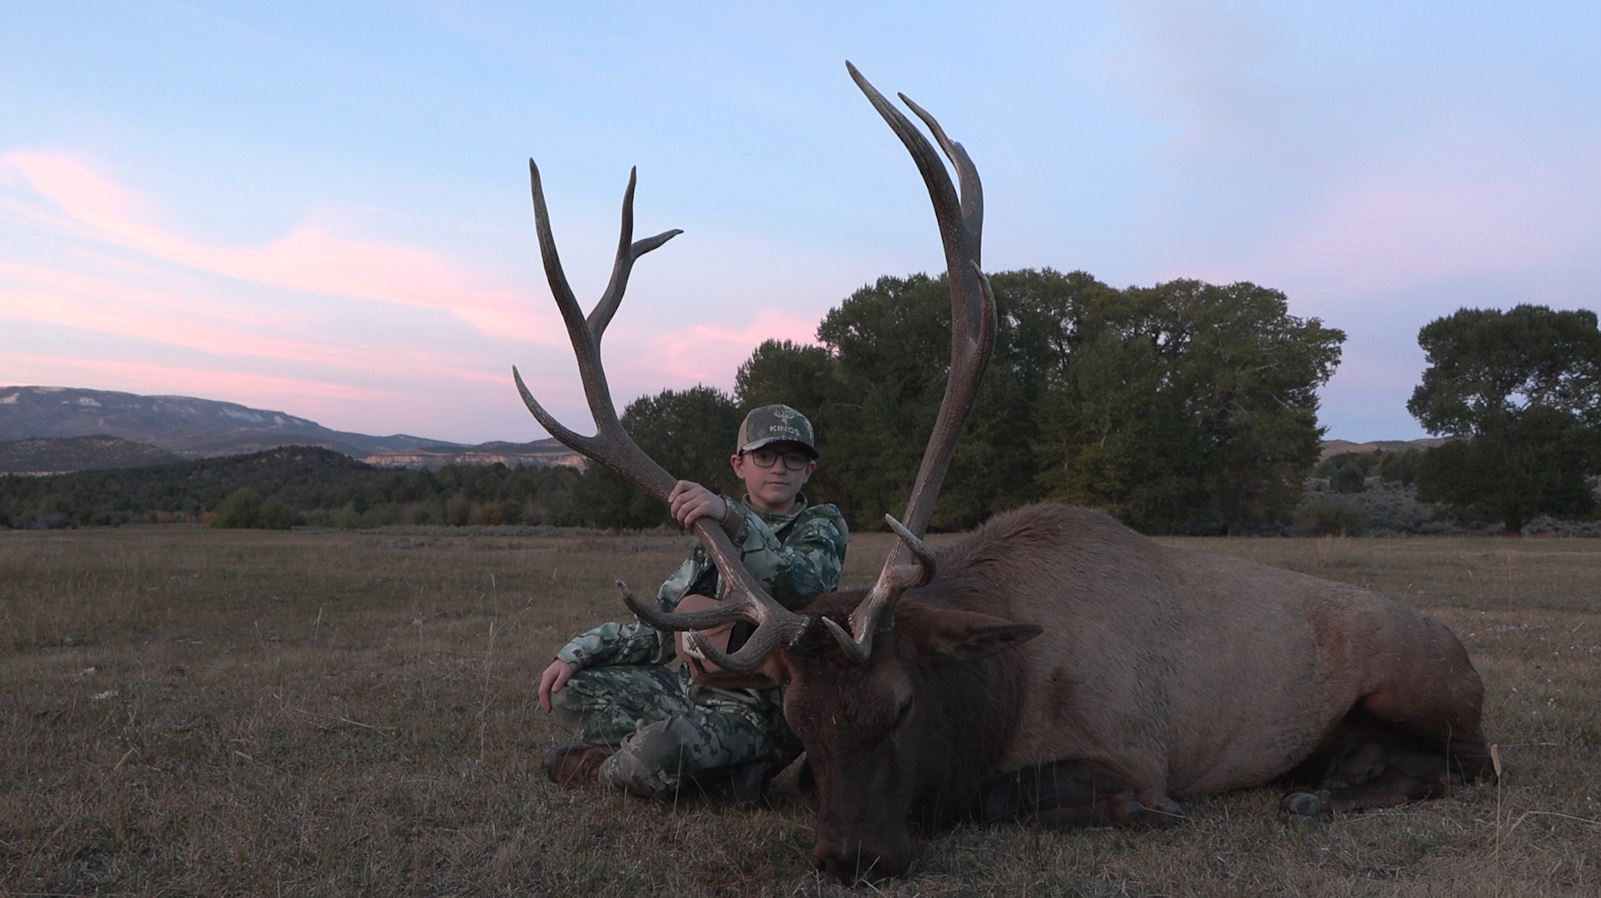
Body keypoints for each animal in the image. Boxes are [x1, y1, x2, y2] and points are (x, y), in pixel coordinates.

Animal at [514, 62, 1496, 884]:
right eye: (797, 718)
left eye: (901, 708)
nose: (855, 860)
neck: (1002, 684)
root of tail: (1459, 649)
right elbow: (778, 781)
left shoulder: (1133, 746)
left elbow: (1007, 795)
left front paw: (1141, 810)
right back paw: (1320, 785)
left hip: (1421, 683)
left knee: (1469, 764)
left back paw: (1321, 795)